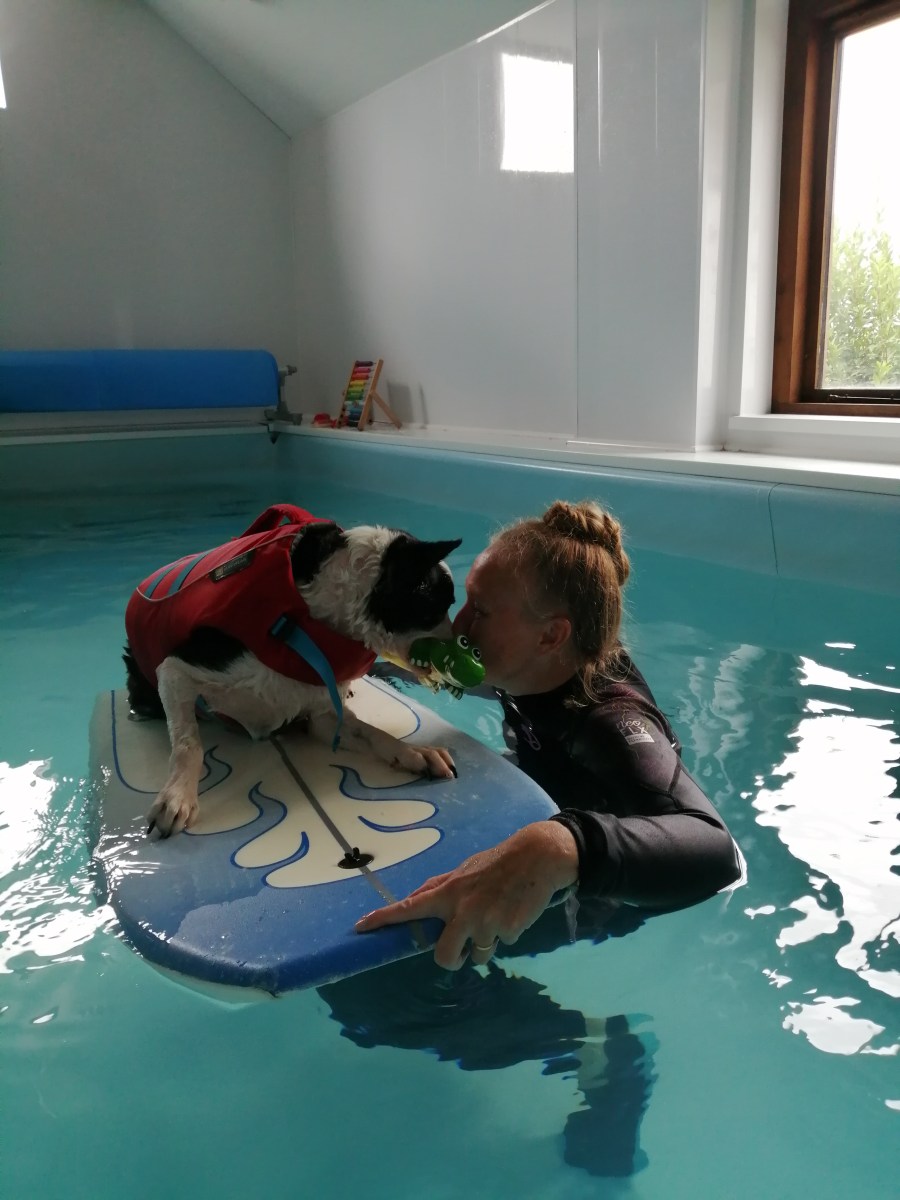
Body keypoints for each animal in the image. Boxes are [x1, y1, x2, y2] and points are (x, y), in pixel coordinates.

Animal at [123, 503, 461, 837]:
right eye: (440, 606)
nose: (466, 644)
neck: (310, 621)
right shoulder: (177, 669)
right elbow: (188, 743)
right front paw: (177, 796)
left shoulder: (323, 715)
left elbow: (370, 730)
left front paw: (415, 752)